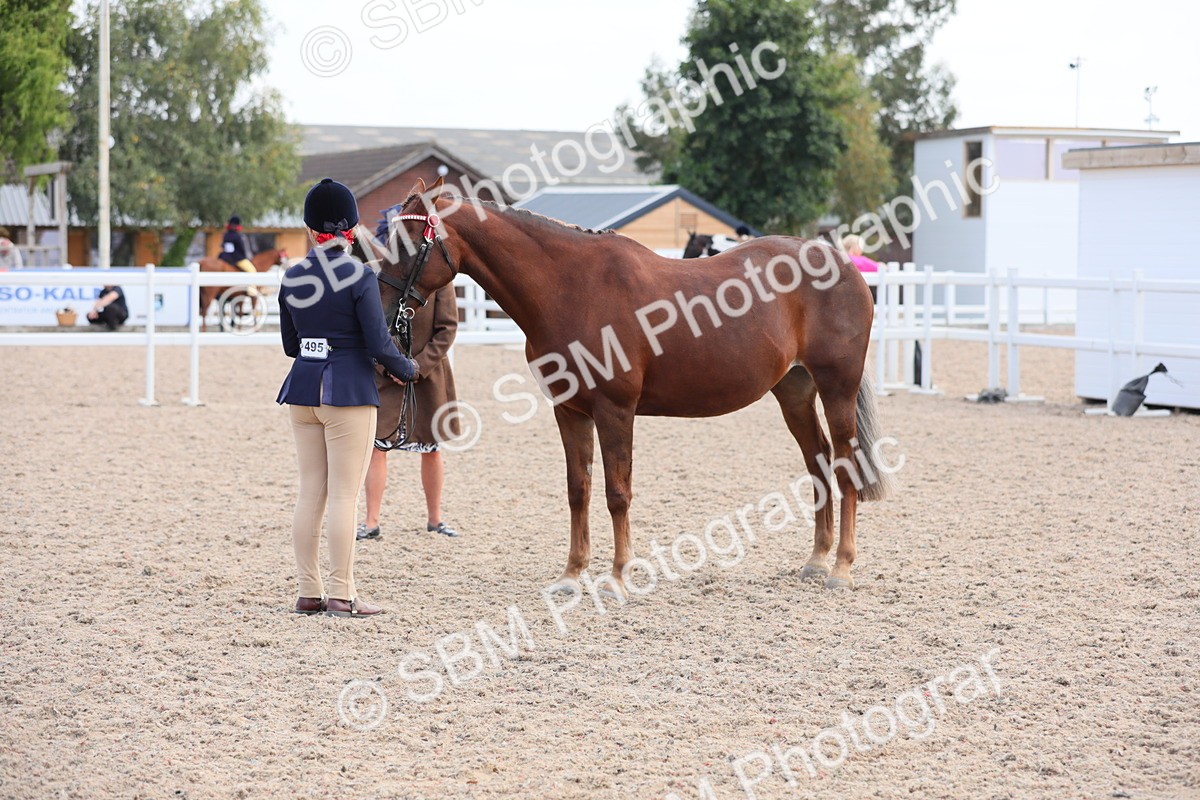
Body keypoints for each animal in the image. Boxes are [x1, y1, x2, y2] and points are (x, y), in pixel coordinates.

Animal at [369, 178, 890, 596]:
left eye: (410, 241)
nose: (382, 311)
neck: (571, 288)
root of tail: (844, 267)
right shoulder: (569, 411)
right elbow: (578, 489)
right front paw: (571, 575)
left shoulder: (615, 409)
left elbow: (617, 492)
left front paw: (619, 576)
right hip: (795, 392)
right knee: (818, 463)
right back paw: (816, 561)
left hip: (836, 389)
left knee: (845, 467)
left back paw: (841, 570)